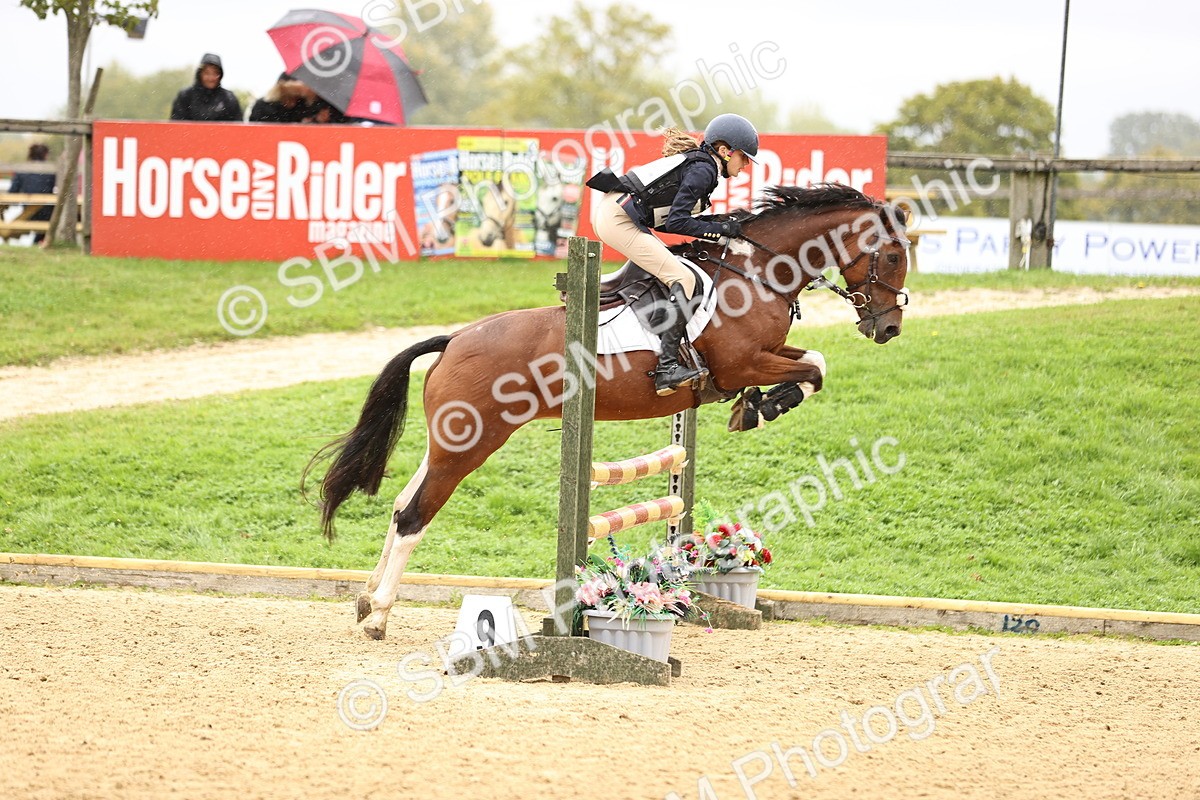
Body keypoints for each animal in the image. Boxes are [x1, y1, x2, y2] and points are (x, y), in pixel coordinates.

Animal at [308, 183, 910, 639]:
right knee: (414, 515)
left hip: (449, 441)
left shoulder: (764, 357)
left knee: (401, 505)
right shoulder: (742, 363)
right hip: (472, 443)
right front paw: (761, 407)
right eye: (895, 256)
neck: (758, 271)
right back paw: (379, 616)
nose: (888, 329)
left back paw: (366, 600)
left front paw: (756, 409)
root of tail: (454, 340)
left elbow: (815, 363)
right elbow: (812, 369)